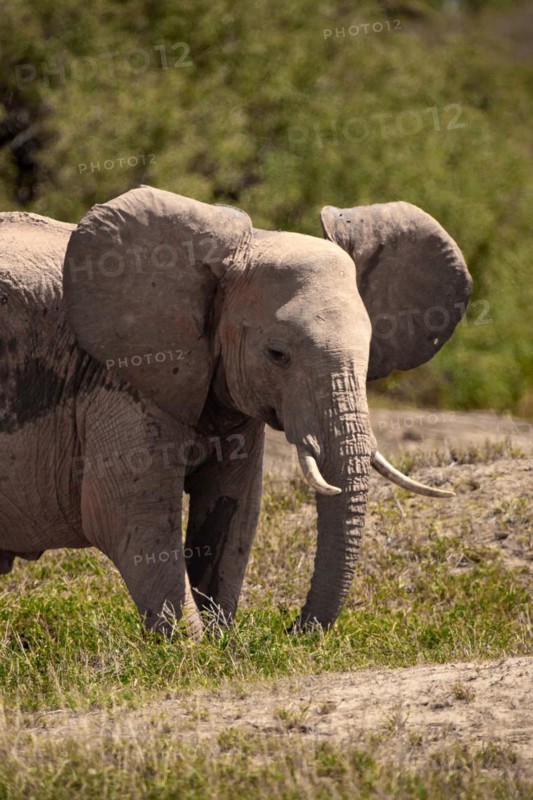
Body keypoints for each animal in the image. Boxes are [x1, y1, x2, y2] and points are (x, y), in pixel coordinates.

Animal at [0, 186, 472, 635]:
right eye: (277, 354)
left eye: (370, 351)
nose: (293, 628)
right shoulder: (120, 380)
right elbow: (129, 519)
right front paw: (191, 650)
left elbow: (235, 510)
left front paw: (220, 642)